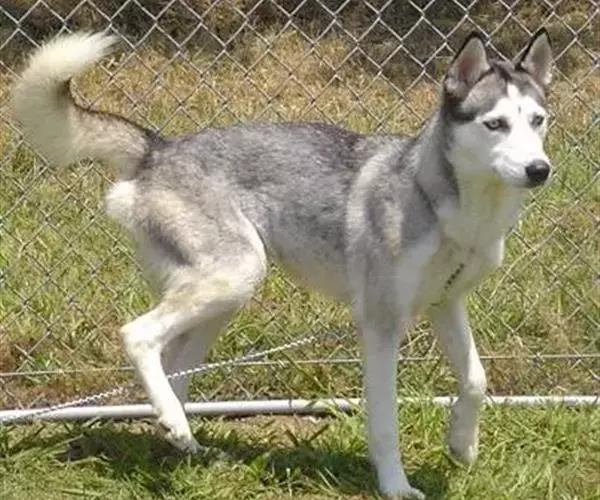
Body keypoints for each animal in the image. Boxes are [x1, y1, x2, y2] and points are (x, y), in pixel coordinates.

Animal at [12, 29, 552, 499]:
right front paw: (396, 487)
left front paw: (463, 445)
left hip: (224, 298)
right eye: (495, 124)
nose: (540, 170)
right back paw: (175, 426)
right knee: (138, 335)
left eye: (538, 120)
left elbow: (477, 381)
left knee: (174, 367)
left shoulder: (446, 304)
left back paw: (180, 435)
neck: (444, 203)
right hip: (235, 276)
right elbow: (385, 422)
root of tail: (158, 149)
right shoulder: (381, 324)